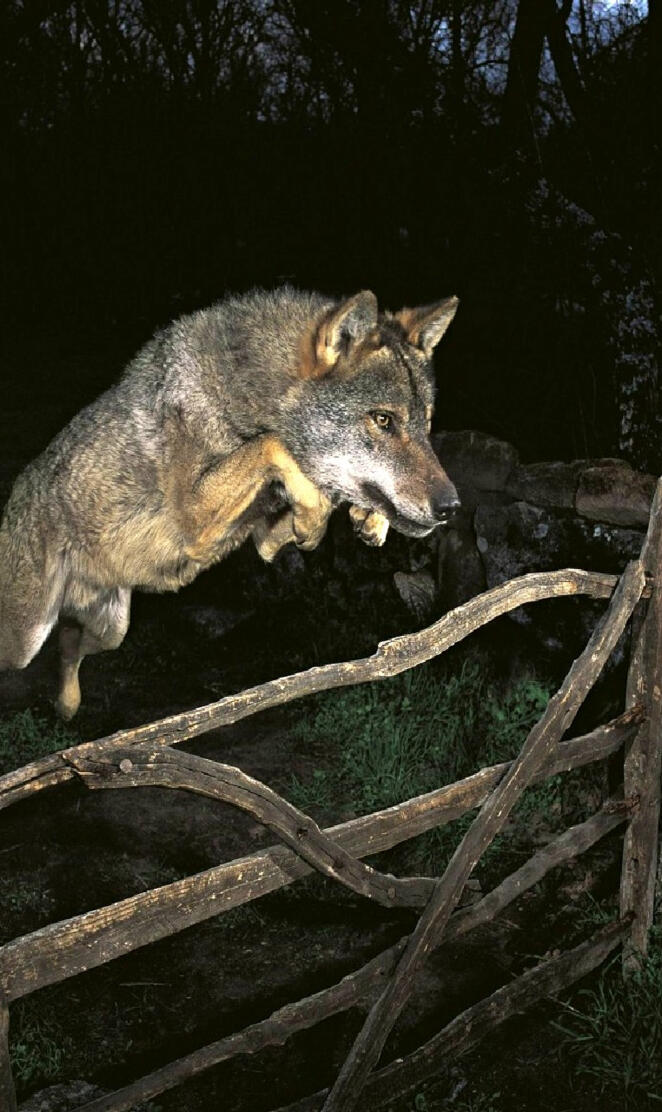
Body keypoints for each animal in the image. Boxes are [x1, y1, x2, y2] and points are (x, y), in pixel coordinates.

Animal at [0, 287, 459, 718]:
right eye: (384, 420)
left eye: (426, 424)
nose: (451, 507)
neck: (243, 394)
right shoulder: (195, 516)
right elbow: (273, 445)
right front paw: (318, 517)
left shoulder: (264, 540)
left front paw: (367, 518)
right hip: (24, 642)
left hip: (111, 630)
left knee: (68, 641)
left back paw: (67, 706)